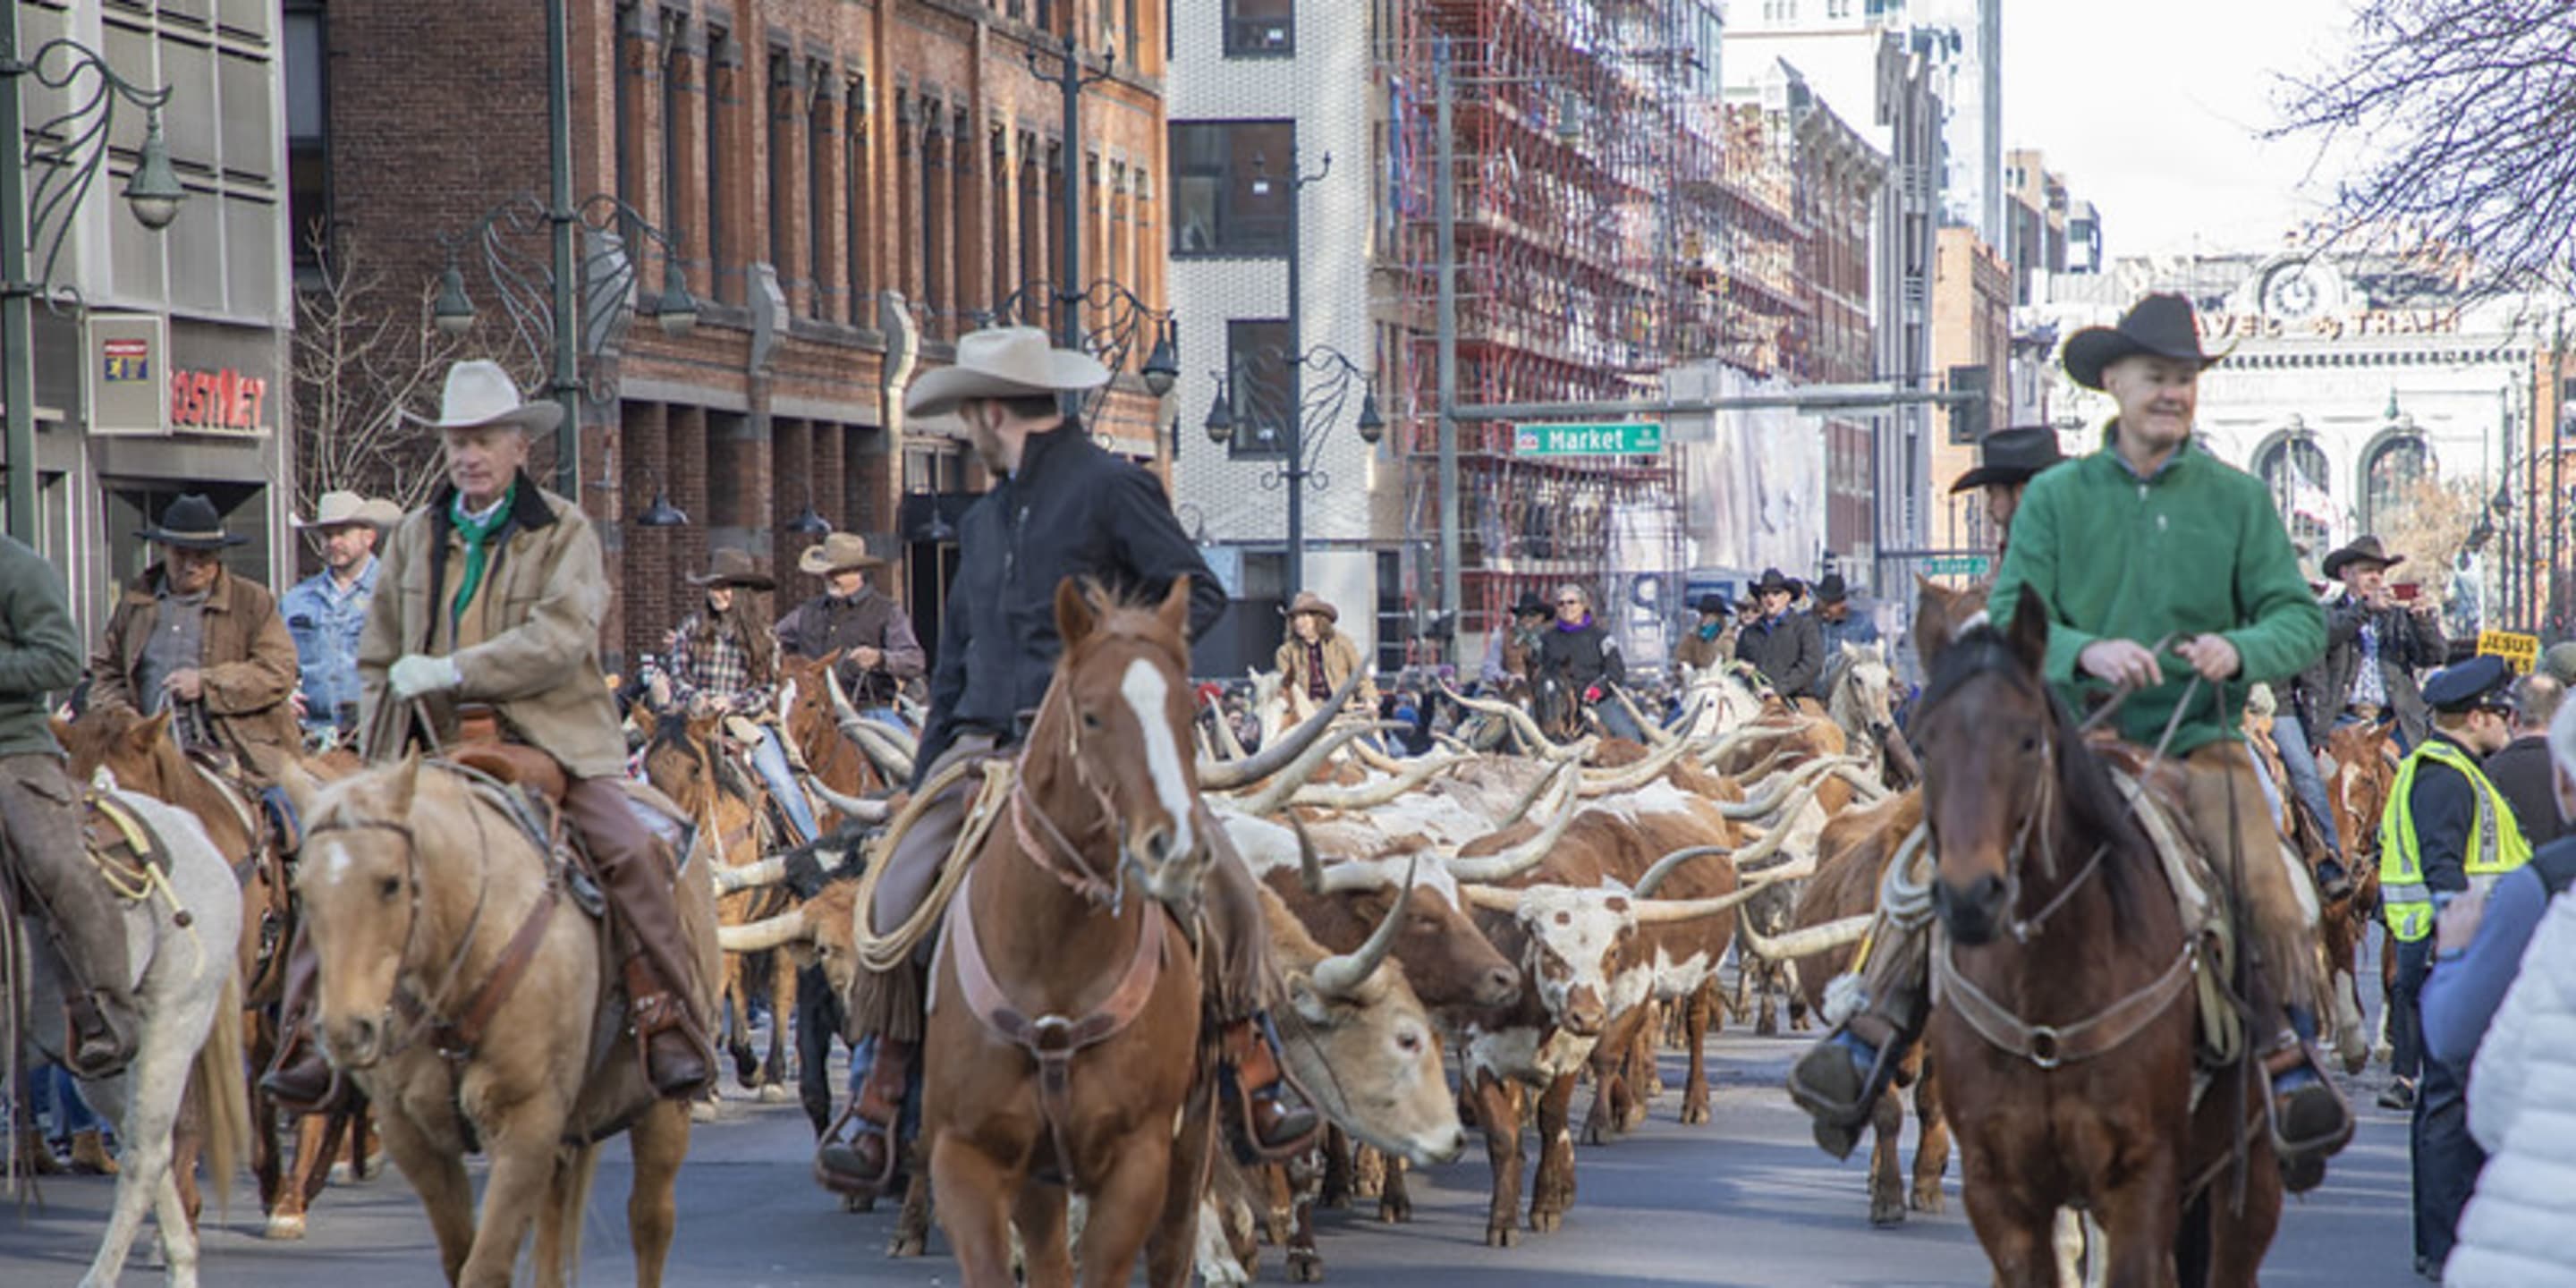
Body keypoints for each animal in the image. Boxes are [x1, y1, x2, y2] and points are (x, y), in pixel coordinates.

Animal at [6, 783, 248, 1288]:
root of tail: (187, 823)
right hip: (104, 1060)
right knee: (145, 1144)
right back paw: (179, 1259)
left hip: (171, 1026)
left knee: (145, 1157)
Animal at [280, 751, 721, 1288]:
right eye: (303, 889)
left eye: (391, 883)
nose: (347, 1031)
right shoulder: (412, 1135)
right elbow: (460, 1255)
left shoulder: (526, 1124)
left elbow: (485, 1266)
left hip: (661, 1108)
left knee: (650, 1221)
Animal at [917, 581, 1216, 1288]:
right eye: (1092, 716)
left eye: (1188, 714)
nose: (1175, 848)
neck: (1051, 961)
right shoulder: (966, 1157)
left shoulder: (1139, 1161)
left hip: (1188, 1146)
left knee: (1172, 1249)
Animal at [1916, 592, 2276, 1288]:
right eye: (1923, 745)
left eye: (2028, 739)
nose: (1971, 897)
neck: (2047, 999)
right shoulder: (1999, 1194)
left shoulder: (2143, 1178)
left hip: (2245, 1176)